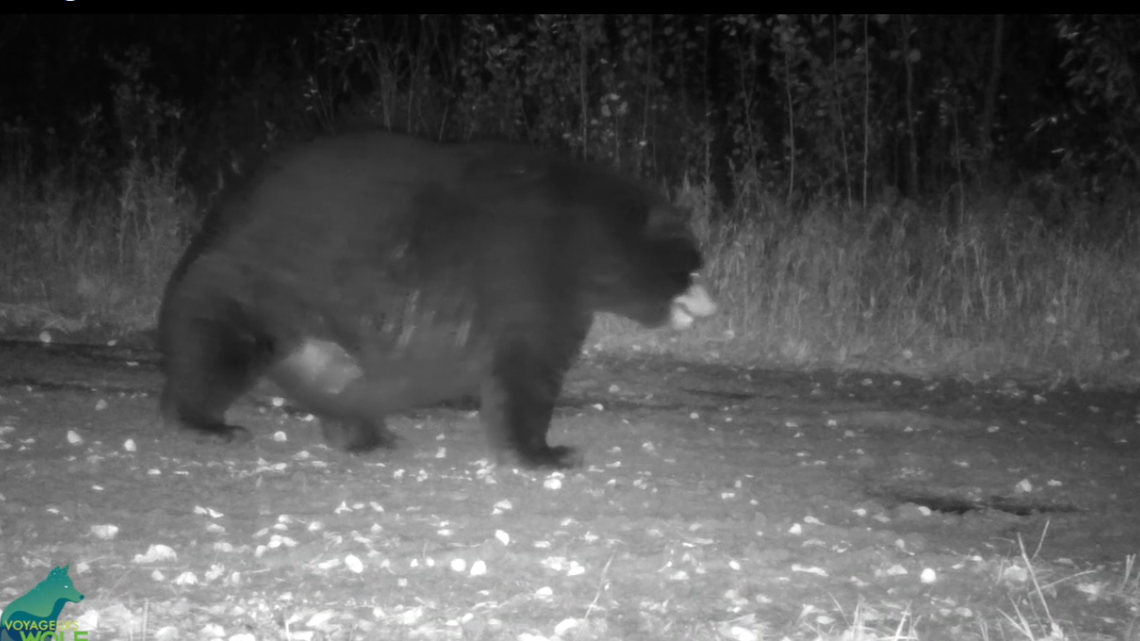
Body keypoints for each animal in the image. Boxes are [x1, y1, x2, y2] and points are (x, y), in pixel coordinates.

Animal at [157, 132, 716, 468]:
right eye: (694, 266)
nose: (714, 306)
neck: (587, 242)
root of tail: (223, 211)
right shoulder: (534, 276)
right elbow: (530, 368)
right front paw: (547, 453)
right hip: (257, 281)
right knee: (215, 346)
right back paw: (205, 421)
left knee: (335, 375)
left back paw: (368, 437)